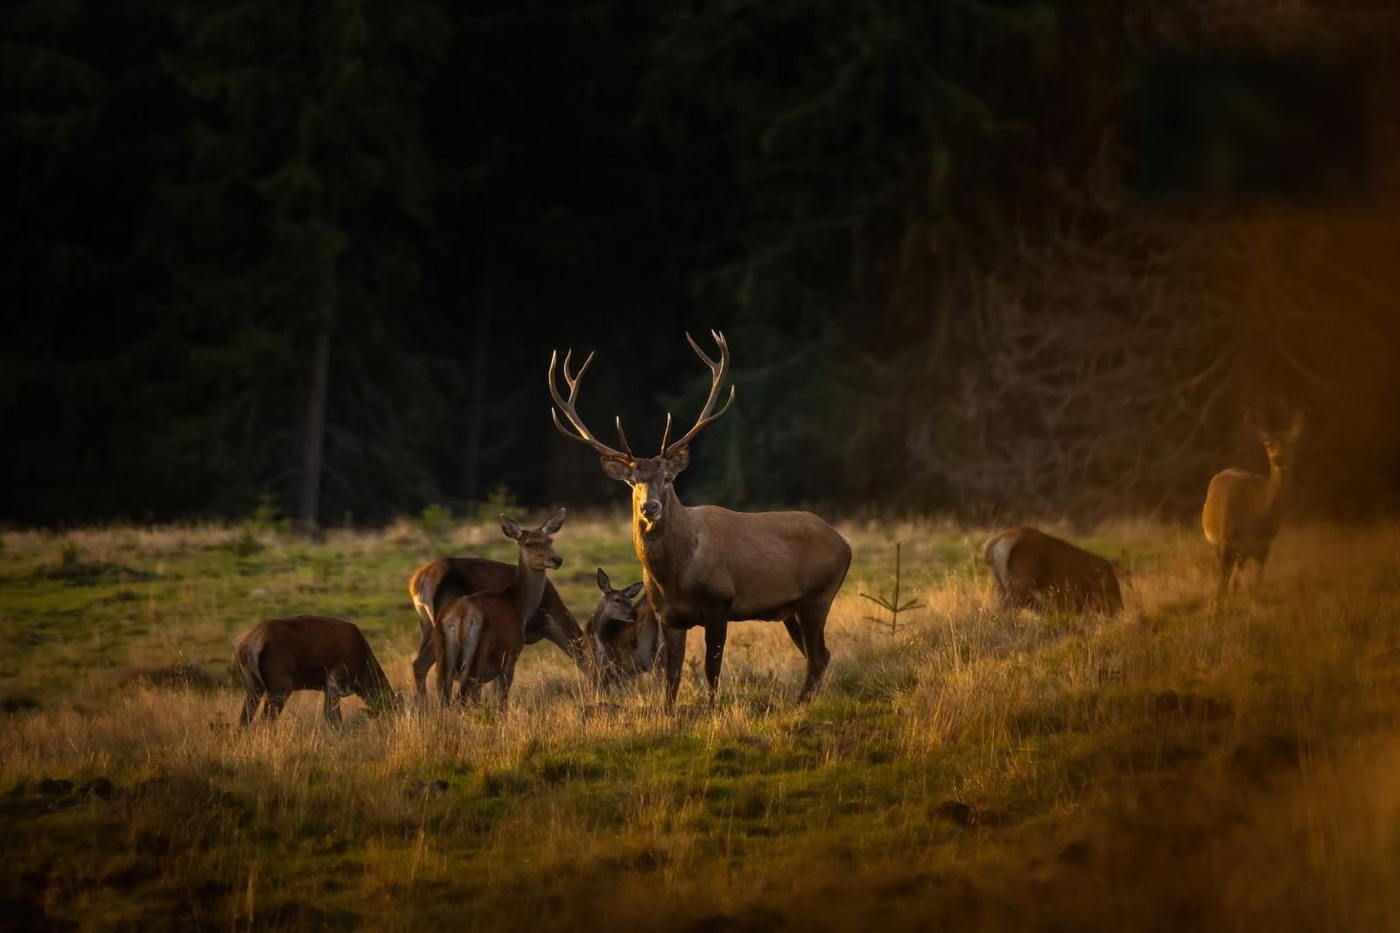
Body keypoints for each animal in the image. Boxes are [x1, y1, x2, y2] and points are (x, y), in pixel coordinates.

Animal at [233, 615, 399, 725]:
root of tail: (248, 646)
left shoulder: (327, 687)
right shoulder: (335, 679)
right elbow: (333, 718)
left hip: (253, 685)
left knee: (244, 720)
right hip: (280, 684)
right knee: (265, 721)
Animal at [432, 510, 566, 711]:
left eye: (549, 540)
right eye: (528, 544)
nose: (557, 559)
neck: (518, 606)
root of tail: (460, 617)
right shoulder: (510, 657)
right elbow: (501, 702)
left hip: (442, 659)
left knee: (444, 700)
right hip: (475, 659)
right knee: (459, 699)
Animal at [547, 330, 851, 709]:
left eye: (668, 478)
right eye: (633, 482)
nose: (650, 508)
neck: (674, 576)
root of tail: (844, 543)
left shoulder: (720, 602)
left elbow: (711, 668)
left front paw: (711, 710)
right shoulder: (669, 617)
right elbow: (672, 674)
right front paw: (667, 712)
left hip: (818, 597)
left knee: (819, 655)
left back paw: (800, 704)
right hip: (792, 609)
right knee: (818, 655)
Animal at [1202, 412, 1305, 601]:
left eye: (1291, 442)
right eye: (1268, 442)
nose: (1279, 458)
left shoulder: (1265, 544)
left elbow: (1258, 583)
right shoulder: (1226, 539)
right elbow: (1222, 583)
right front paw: (1219, 603)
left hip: (1242, 551)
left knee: (1235, 573)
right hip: (1220, 541)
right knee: (1226, 574)